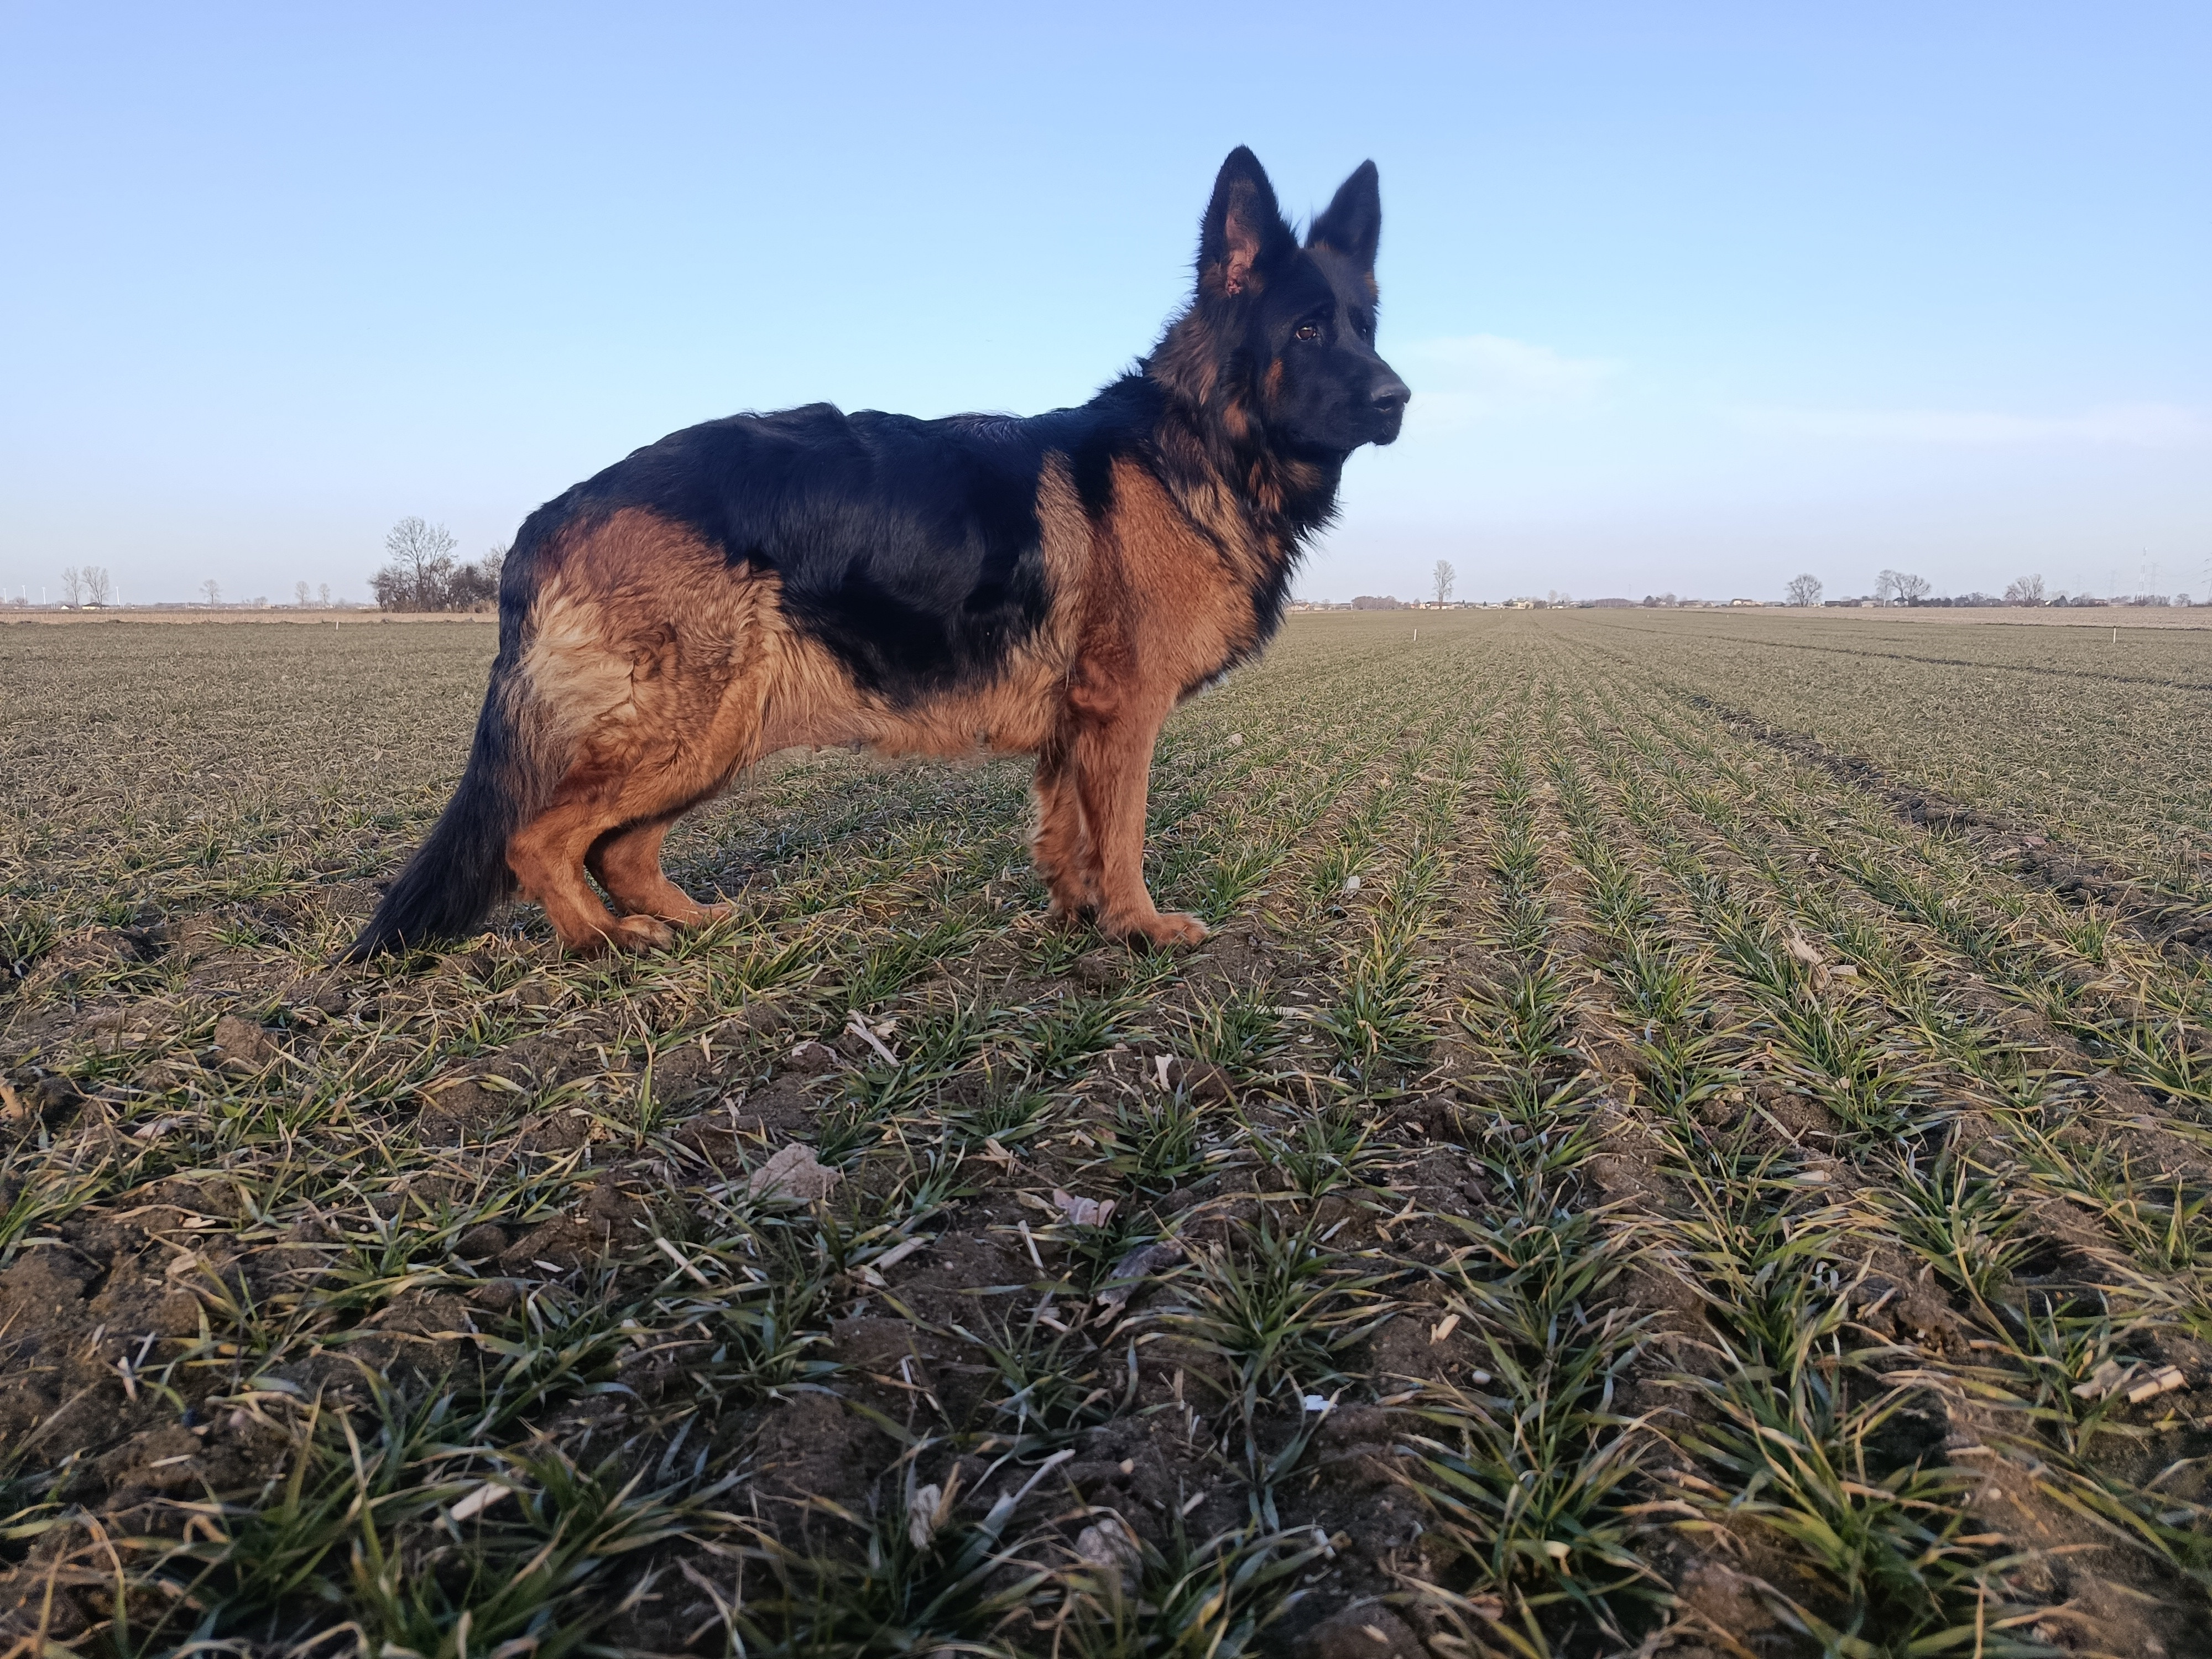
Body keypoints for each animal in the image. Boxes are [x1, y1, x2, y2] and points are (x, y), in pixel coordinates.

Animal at [347, 148, 1407, 960]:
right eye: (1307, 329)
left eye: (1366, 327)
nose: (1399, 400)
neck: (1193, 445)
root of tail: (550, 514)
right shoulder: (1125, 714)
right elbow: (1125, 836)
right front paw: (1140, 928)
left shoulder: (1076, 726)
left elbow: (1068, 834)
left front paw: (1079, 919)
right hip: (692, 726)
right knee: (539, 840)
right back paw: (603, 942)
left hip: (717, 734)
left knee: (618, 850)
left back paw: (690, 921)